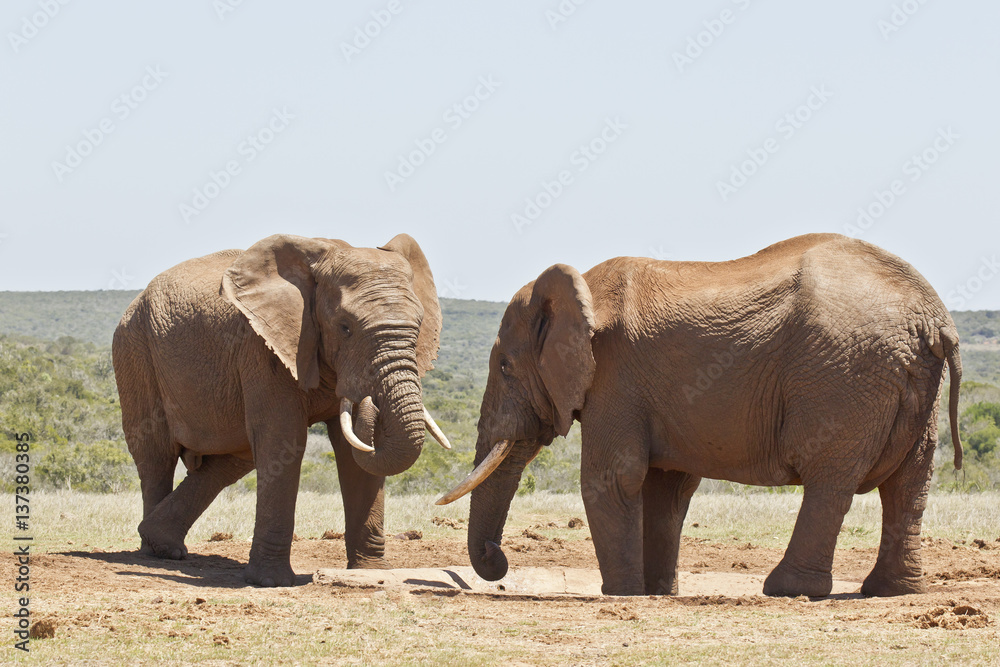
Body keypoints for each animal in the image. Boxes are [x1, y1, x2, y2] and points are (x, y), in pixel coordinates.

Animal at [112, 233, 451, 587]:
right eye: (345, 327)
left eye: (419, 326)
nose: (370, 399)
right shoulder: (263, 347)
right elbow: (285, 439)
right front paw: (271, 581)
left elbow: (354, 453)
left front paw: (372, 574)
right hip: (134, 351)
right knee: (156, 456)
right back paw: (155, 552)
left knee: (232, 460)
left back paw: (161, 541)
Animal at [438, 233, 963, 598]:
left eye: (505, 367)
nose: (496, 561)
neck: (582, 287)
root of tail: (933, 317)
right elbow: (664, 487)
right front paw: (655, 593)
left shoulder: (614, 376)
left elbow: (611, 477)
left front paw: (622, 594)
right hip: (908, 383)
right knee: (910, 483)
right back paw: (890, 591)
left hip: (843, 376)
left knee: (830, 481)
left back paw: (787, 589)